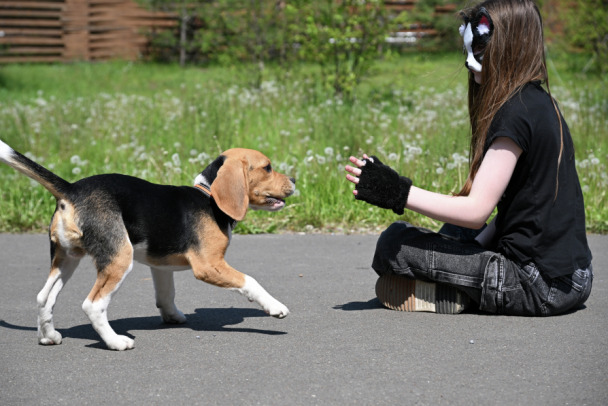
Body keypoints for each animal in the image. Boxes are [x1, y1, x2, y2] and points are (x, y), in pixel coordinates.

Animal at [0, 140, 294, 348]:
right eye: (267, 167)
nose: (294, 179)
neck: (209, 196)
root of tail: (72, 189)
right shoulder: (209, 265)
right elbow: (250, 281)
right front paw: (275, 307)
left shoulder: (160, 266)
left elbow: (166, 295)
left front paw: (172, 317)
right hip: (119, 258)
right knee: (92, 305)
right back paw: (116, 342)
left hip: (66, 258)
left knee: (44, 297)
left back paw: (48, 336)